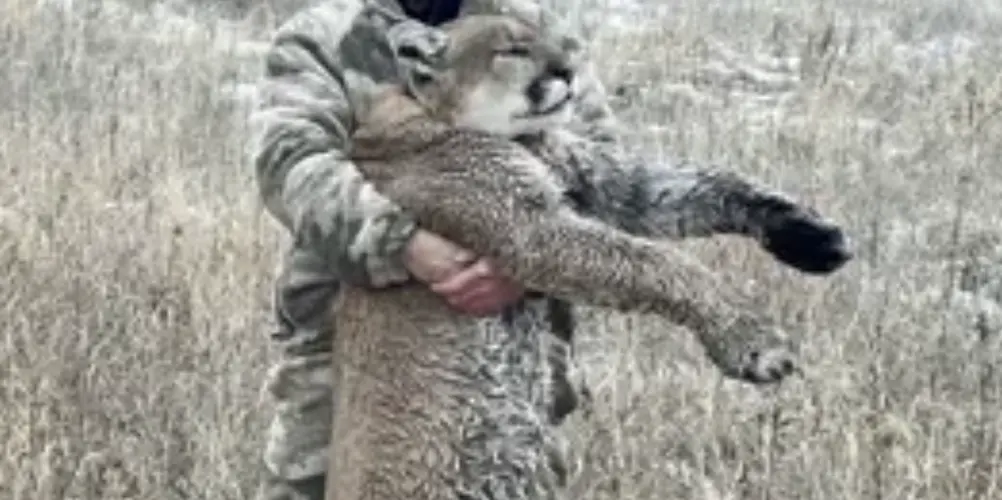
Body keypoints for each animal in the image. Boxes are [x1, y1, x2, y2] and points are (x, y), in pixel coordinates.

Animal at [326, 13, 851, 500]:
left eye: (544, 35)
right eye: (513, 49)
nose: (569, 70)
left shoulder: (599, 182)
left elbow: (703, 185)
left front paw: (808, 237)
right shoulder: (531, 229)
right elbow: (657, 262)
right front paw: (752, 340)